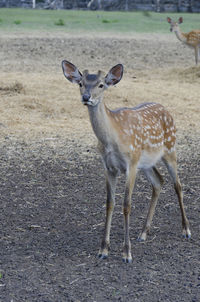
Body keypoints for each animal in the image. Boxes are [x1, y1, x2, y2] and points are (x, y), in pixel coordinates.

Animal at [61, 60, 191, 262]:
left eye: (101, 84)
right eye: (81, 83)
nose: (86, 97)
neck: (112, 140)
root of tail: (166, 110)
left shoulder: (130, 164)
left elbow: (126, 205)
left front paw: (127, 253)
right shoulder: (109, 167)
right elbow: (110, 203)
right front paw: (103, 249)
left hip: (169, 149)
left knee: (177, 184)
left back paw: (186, 230)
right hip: (146, 162)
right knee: (158, 182)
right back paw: (143, 232)